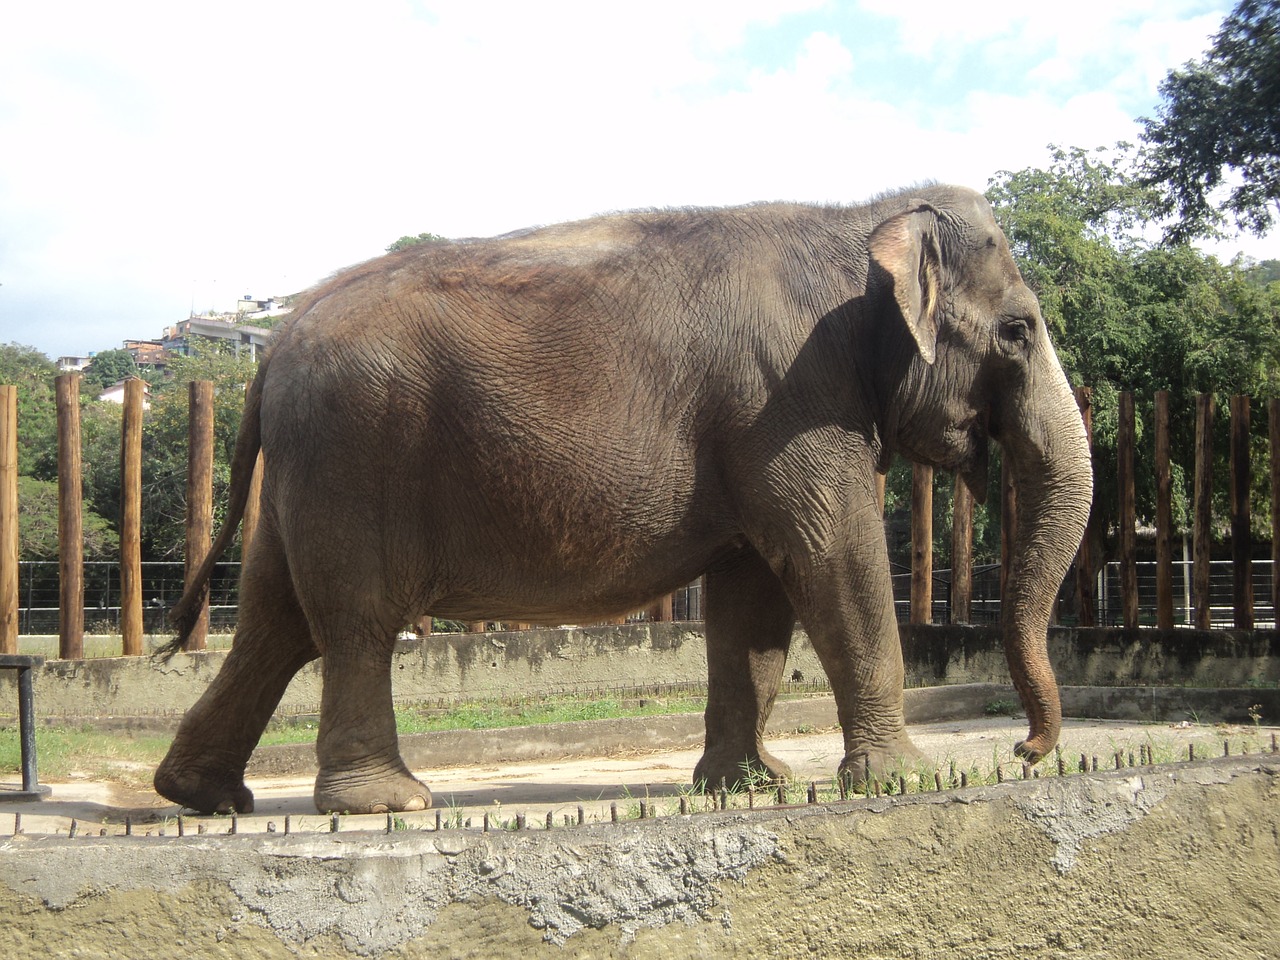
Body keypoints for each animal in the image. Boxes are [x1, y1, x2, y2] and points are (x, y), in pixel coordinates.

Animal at [149, 184, 1090, 814]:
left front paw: (748, 787)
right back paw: (386, 803)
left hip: (306, 473)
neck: (862, 213)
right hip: (353, 453)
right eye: (1020, 331)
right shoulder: (791, 400)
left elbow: (753, 602)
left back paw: (202, 796)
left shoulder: (762, 424)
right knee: (353, 620)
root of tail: (274, 344)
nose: (1026, 749)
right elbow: (835, 559)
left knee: (275, 620)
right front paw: (907, 778)